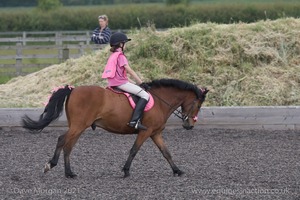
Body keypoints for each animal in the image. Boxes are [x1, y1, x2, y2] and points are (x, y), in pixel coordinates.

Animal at [21, 78, 209, 178]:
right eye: (199, 105)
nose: (190, 125)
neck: (160, 100)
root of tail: (73, 90)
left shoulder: (156, 133)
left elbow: (166, 152)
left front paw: (177, 170)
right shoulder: (145, 131)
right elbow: (134, 150)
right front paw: (125, 171)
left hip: (78, 126)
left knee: (68, 146)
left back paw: (68, 172)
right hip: (79, 125)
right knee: (63, 141)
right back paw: (53, 166)